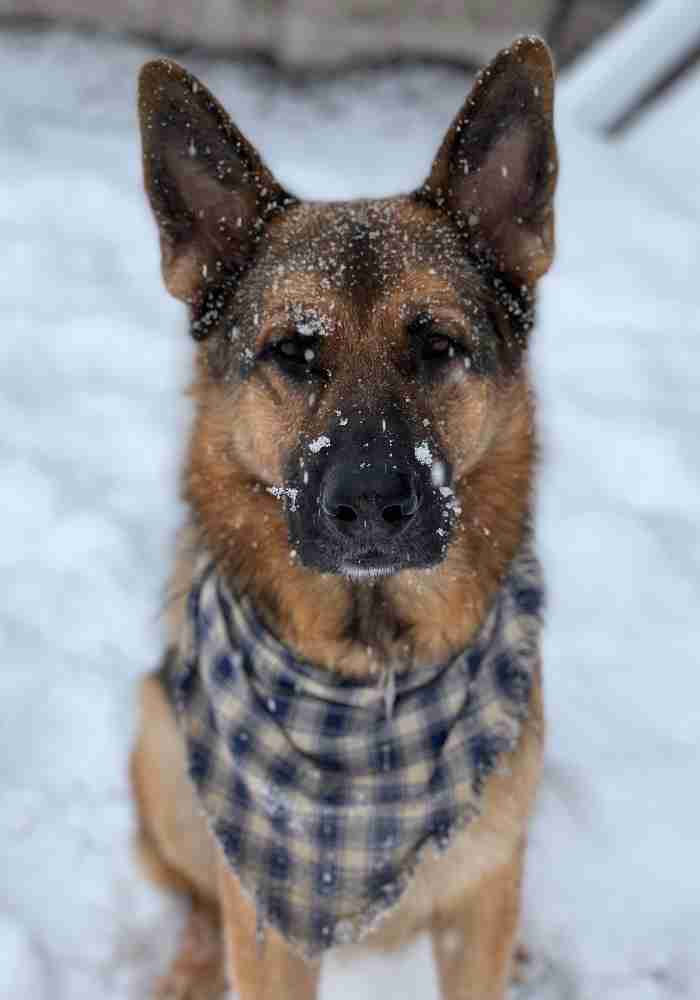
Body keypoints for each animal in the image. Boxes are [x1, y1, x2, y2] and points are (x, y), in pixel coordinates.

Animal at [131, 37, 556, 1000]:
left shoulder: (483, 898)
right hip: (161, 747)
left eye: (436, 346)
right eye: (294, 351)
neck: (372, 677)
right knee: (191, 892)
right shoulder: (268, 925)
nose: (369, 504)